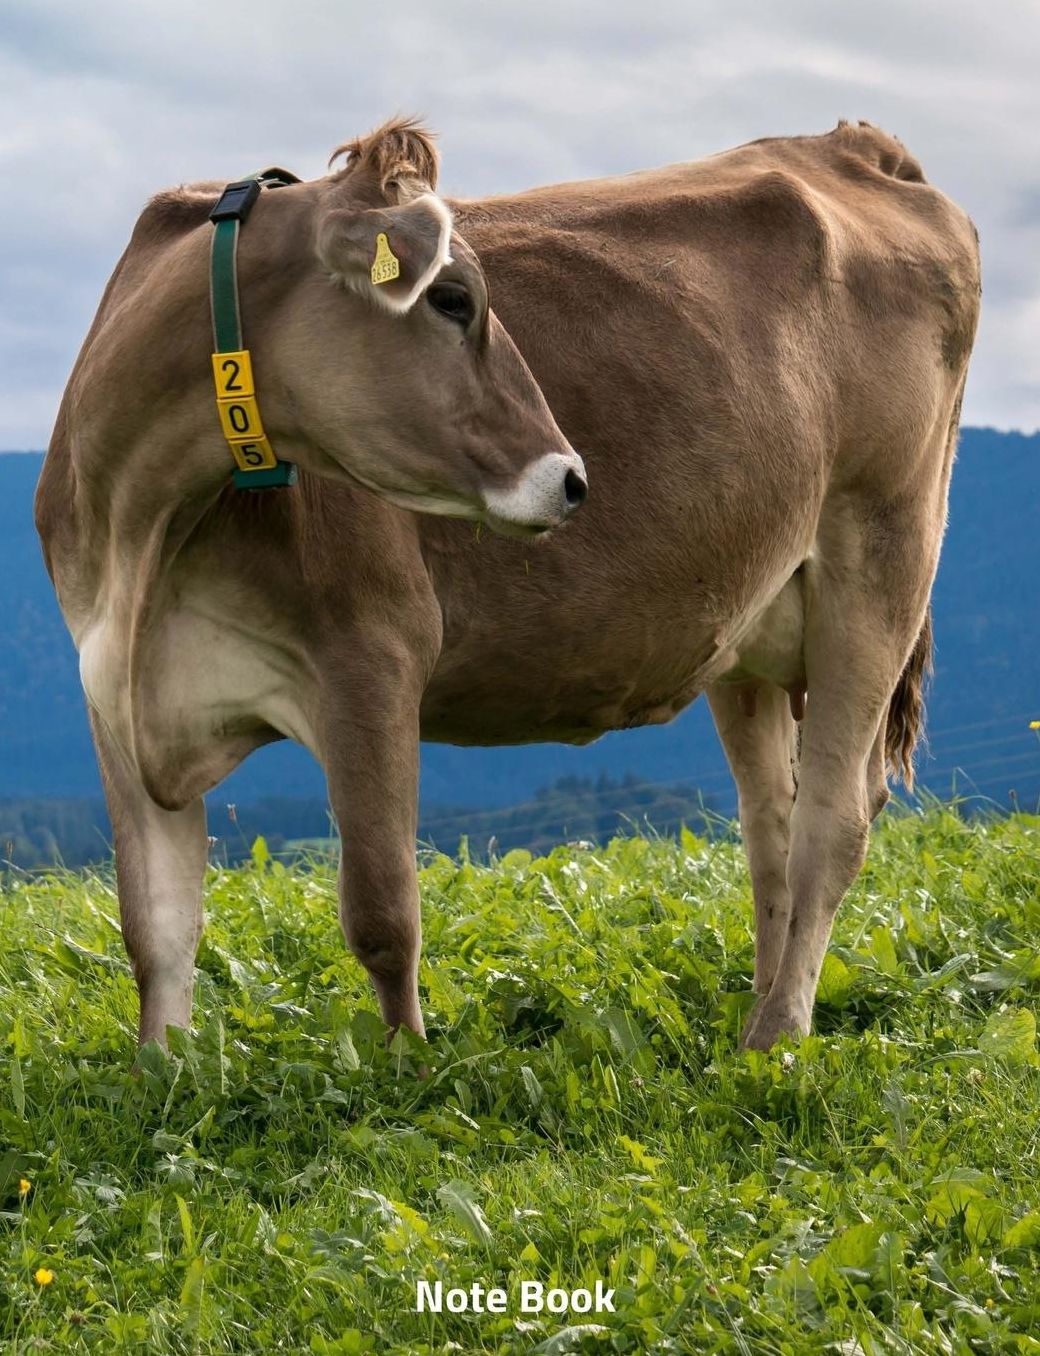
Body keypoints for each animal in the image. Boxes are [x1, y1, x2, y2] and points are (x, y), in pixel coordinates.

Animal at [36, 117, 979, 1055]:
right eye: (452, 300)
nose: (572, 479)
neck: (148, 538)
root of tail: (850, 142)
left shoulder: (372, 655)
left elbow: (382, 914)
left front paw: (407, 1068)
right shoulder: (111, 692)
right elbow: (154, 927)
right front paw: (163, 1070)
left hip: (884, 551)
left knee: (834, 820)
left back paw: (779, 1036)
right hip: (754, 623)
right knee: (771, 822)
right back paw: (760, 1007)